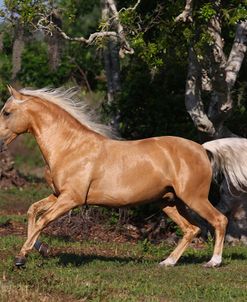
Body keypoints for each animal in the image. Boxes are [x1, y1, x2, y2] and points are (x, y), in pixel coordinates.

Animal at [0, 86, 247, 266]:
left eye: (6, 112)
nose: (0, 143)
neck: (70, 147)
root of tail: (202, 148)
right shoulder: (57, 195)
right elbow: (33, 211)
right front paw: (36, 249)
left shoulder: (71, 199)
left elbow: (43, 219)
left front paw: (21, 257)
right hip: (169, 202)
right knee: (191, 229)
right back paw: (167, 262)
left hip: (194, 198)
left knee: (219, 220)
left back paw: (213, 262)